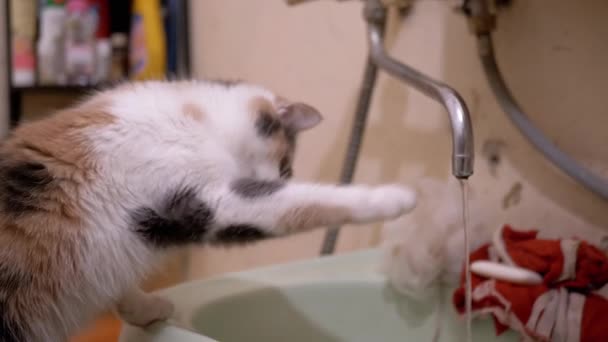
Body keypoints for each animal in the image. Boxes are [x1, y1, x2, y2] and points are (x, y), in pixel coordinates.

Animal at [0, 79, 418, 340]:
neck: (196, 117)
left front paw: (146, 307)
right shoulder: (212, 201)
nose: (281, 177)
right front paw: (396, 198)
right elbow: (307, 202)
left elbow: (122, 288)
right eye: (286, 167)